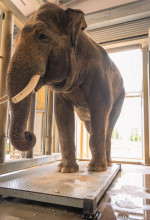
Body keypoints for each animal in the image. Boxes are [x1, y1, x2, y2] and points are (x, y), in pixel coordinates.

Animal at [0, 2, 124, 173]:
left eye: (42, 37)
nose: (29, 135)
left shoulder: (100, 74)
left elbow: (100, 106)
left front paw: (96, 169)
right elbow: (61, 112)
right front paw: (66, 170)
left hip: (121, 97)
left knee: (109, 124)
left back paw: (108, 164)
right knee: (90, 125)